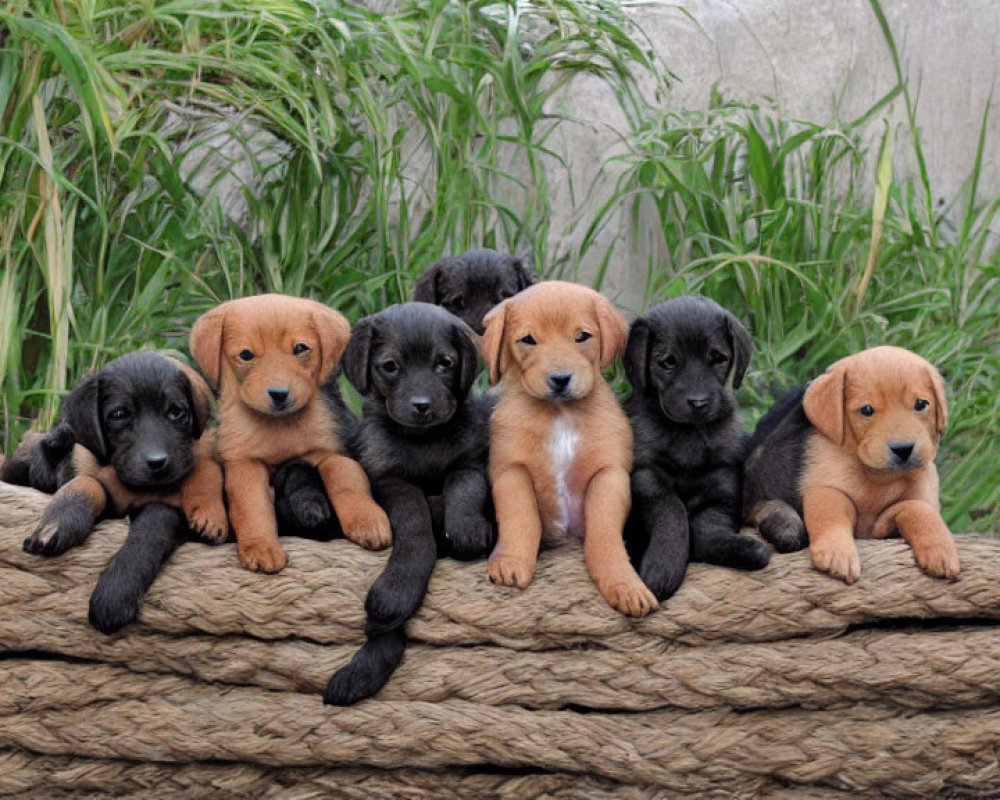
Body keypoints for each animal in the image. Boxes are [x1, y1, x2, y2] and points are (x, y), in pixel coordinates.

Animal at [8, 354, 227, 636]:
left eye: (176, 412)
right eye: (119, 415)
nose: (158, 462)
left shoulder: (168, 507)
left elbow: (149, 532)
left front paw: (113, 597)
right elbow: (87, 483)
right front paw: (56, 523)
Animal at [276, 304, 494, 704]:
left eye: (445, 363)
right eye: (390, 366)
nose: (422, 406)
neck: (423, 441)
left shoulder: (471, 461)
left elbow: (464, 487)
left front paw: (466, 527)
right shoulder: (387, 479)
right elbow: (414, 516)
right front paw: (397, 587)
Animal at [476, 282, 656, 620]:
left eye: (582, 336)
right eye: (528, 340)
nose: (560, 380)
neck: (560, 413)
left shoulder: (609, 475)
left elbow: (604, 534)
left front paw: (624, 583)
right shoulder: (510, 470)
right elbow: (520, 517)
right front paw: (511, 562)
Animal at [744, 346, 960, 584]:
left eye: (921, 404)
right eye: (866, 410)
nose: (903, 449)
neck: (876, 476)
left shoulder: (887, 521)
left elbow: (919, 509)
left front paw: (940, 551)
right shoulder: (824, 487)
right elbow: (831, 512)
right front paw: (837, 553)